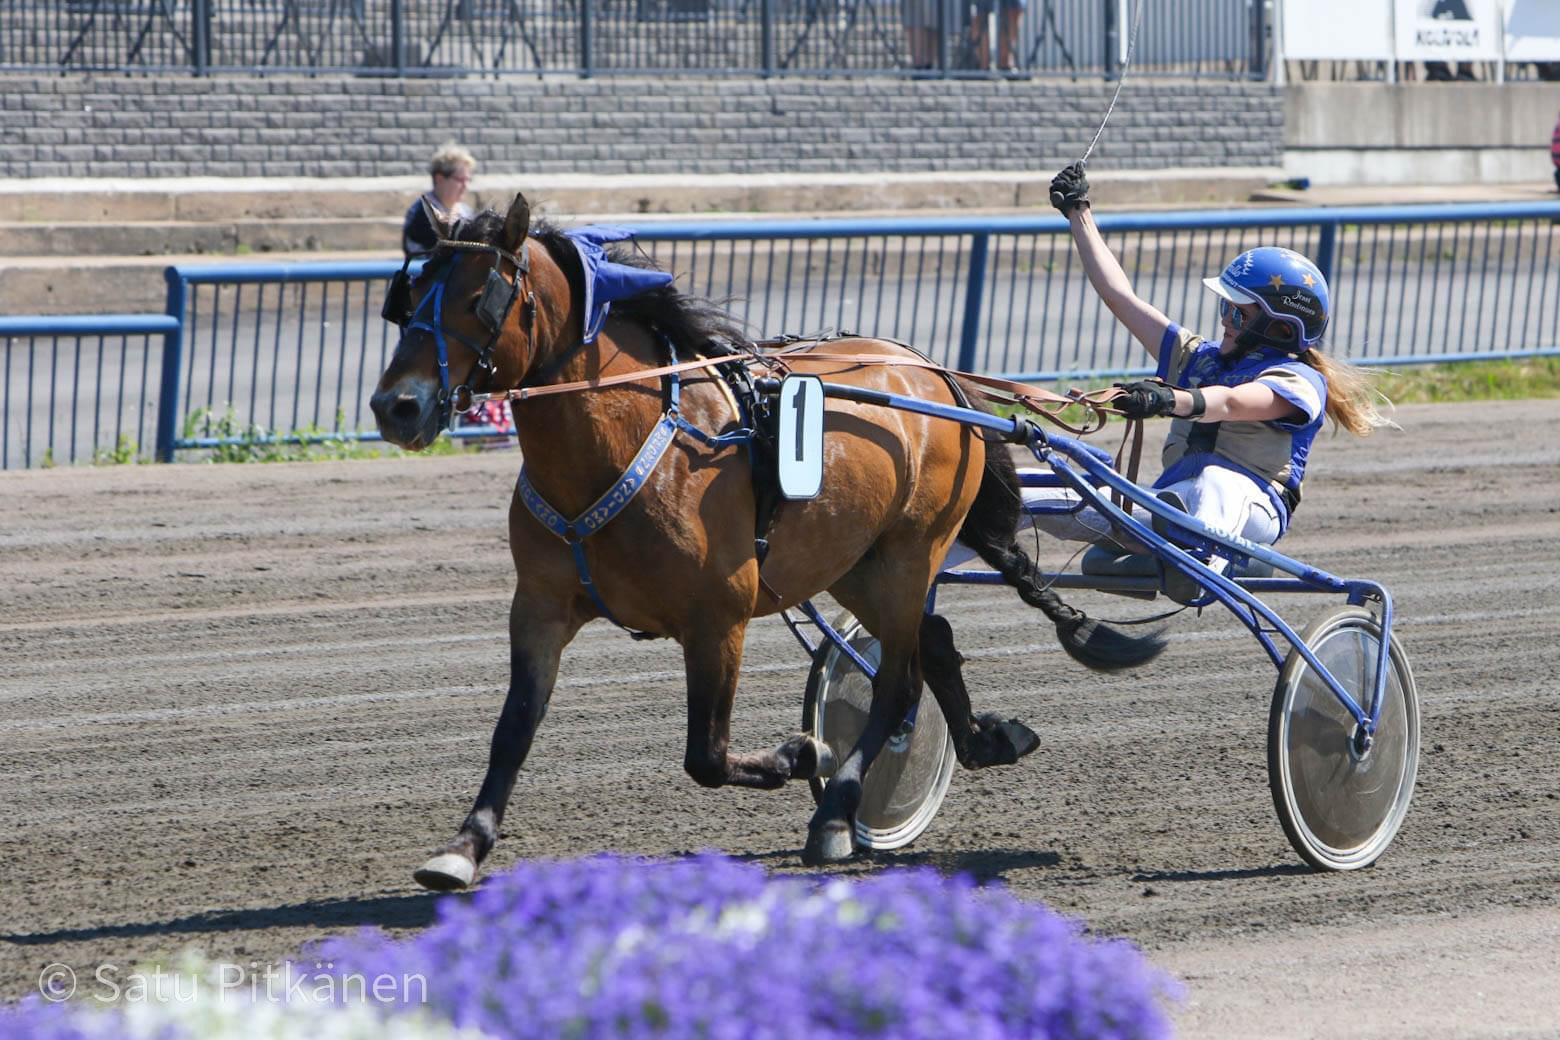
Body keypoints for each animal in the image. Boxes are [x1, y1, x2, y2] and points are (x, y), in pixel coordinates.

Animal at [374, 193, 1160, 885]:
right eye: (408, 297)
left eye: (480, 298)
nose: (395, 406)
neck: (626, 443)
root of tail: (935, 373)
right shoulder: (539, 606)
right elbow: (513, 731)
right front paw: (462, 848)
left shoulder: (717, 617)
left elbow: (707, 756)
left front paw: (799, 756)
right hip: (854, 561)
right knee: (929, 644)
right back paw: (980, 739)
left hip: (912, 552)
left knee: (898, 682)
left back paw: (838, 813)